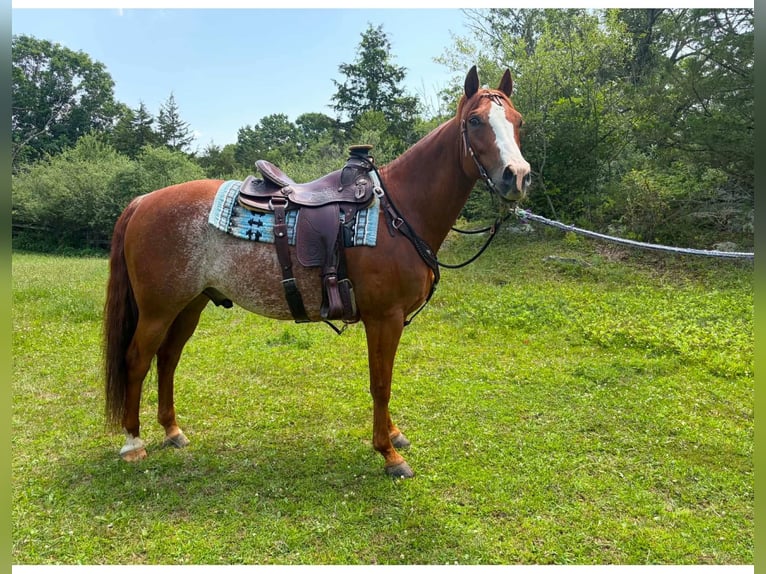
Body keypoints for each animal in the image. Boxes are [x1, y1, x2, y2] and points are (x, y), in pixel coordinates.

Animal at [103, 66, 531, 478]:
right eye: (475, 121)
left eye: (517, 120)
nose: (517, 175)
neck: (399, 211)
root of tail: (143, 201)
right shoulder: (384, 318)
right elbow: (381, 383)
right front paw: (388, 453)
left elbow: (384, 379)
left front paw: (393, 434)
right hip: (158, 309)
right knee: (137, 360)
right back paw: (133, 443)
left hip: (190, 304)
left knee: (167, 359)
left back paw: (172, 430)